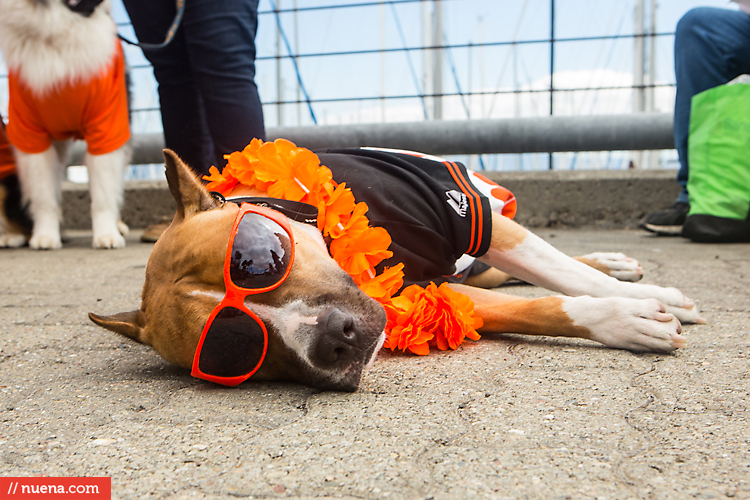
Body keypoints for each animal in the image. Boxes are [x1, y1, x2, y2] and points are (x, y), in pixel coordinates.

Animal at [89, 146, 704, 392]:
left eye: (259, 258)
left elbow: (565, 278)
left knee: (544, 261)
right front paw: (623, 317)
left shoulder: (468, 213)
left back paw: (617, 265)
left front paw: (650, 301)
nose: (336, 338)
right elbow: (540, 303)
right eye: (232, 346)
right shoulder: (430, 291)